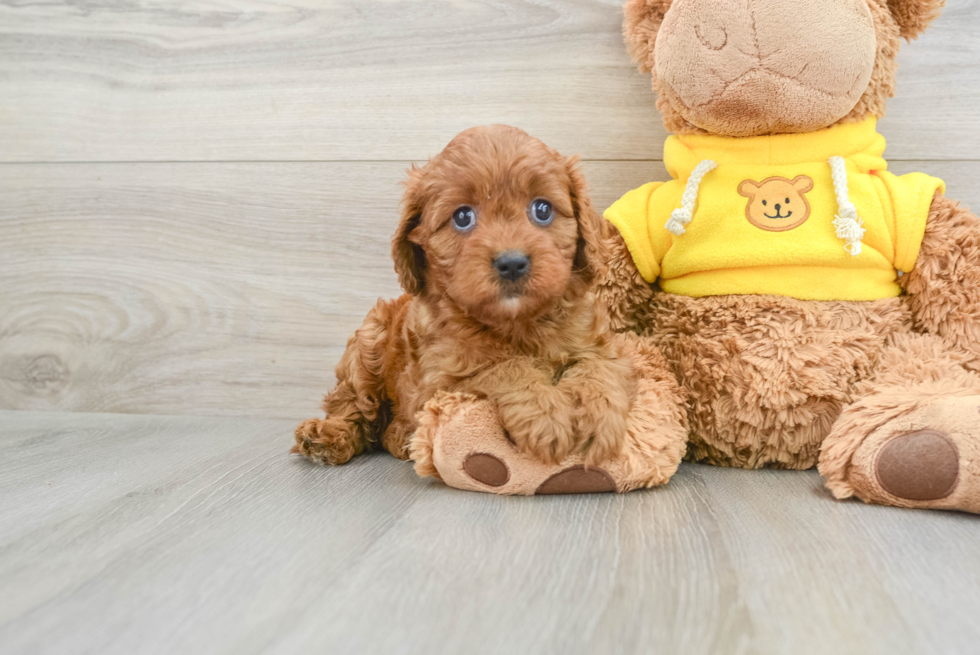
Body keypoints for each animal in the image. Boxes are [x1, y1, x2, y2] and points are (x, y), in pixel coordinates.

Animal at [294, 124, 636, 466]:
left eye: (542, 210)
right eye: (462, 217)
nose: (512, 263)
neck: (517, 323)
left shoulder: (599, 345)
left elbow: (597, 368)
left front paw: (596, 417)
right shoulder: (439, 382)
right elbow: (503, 367)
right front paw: (546, 416)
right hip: (368, 341)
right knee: (352, 404)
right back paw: (331, 435)